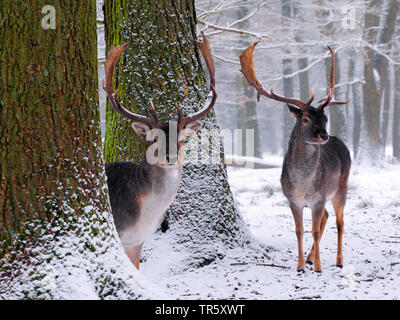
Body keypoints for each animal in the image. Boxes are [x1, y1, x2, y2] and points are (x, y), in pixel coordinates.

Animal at [241, 40, 350, 272]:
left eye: (325, 118)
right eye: (306, 118)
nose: (324, 135)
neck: (303, 185)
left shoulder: (318, 198)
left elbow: (315, 231)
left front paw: (318, 267)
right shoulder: (292, 200)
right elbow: (299, 231)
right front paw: (300, 265)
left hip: (341, 187)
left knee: (340, 221)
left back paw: (338, 261)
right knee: (327, 217)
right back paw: (309, 258)